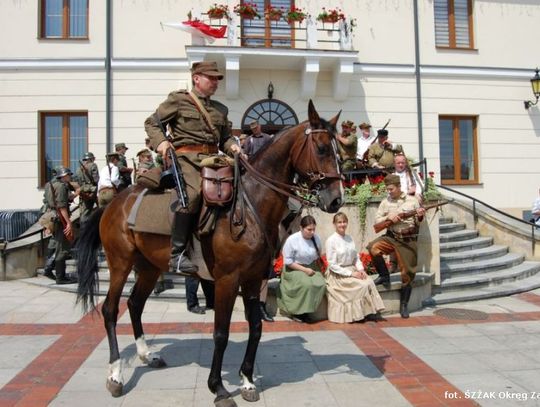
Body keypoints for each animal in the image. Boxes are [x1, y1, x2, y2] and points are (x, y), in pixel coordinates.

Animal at [76, 99, 344, 407]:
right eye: (322, 148)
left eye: (339, 149)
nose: (336, 200)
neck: (250, 205)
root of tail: (114, 203)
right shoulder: (227, 280)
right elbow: (221, 333)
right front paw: (218, 388)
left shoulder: (253, 278)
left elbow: (255, 327)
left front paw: (247, 380)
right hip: (120, 263)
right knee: (110, 310)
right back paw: (116, 374)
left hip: (149, 267)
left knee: (134, 304)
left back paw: (146, 354)